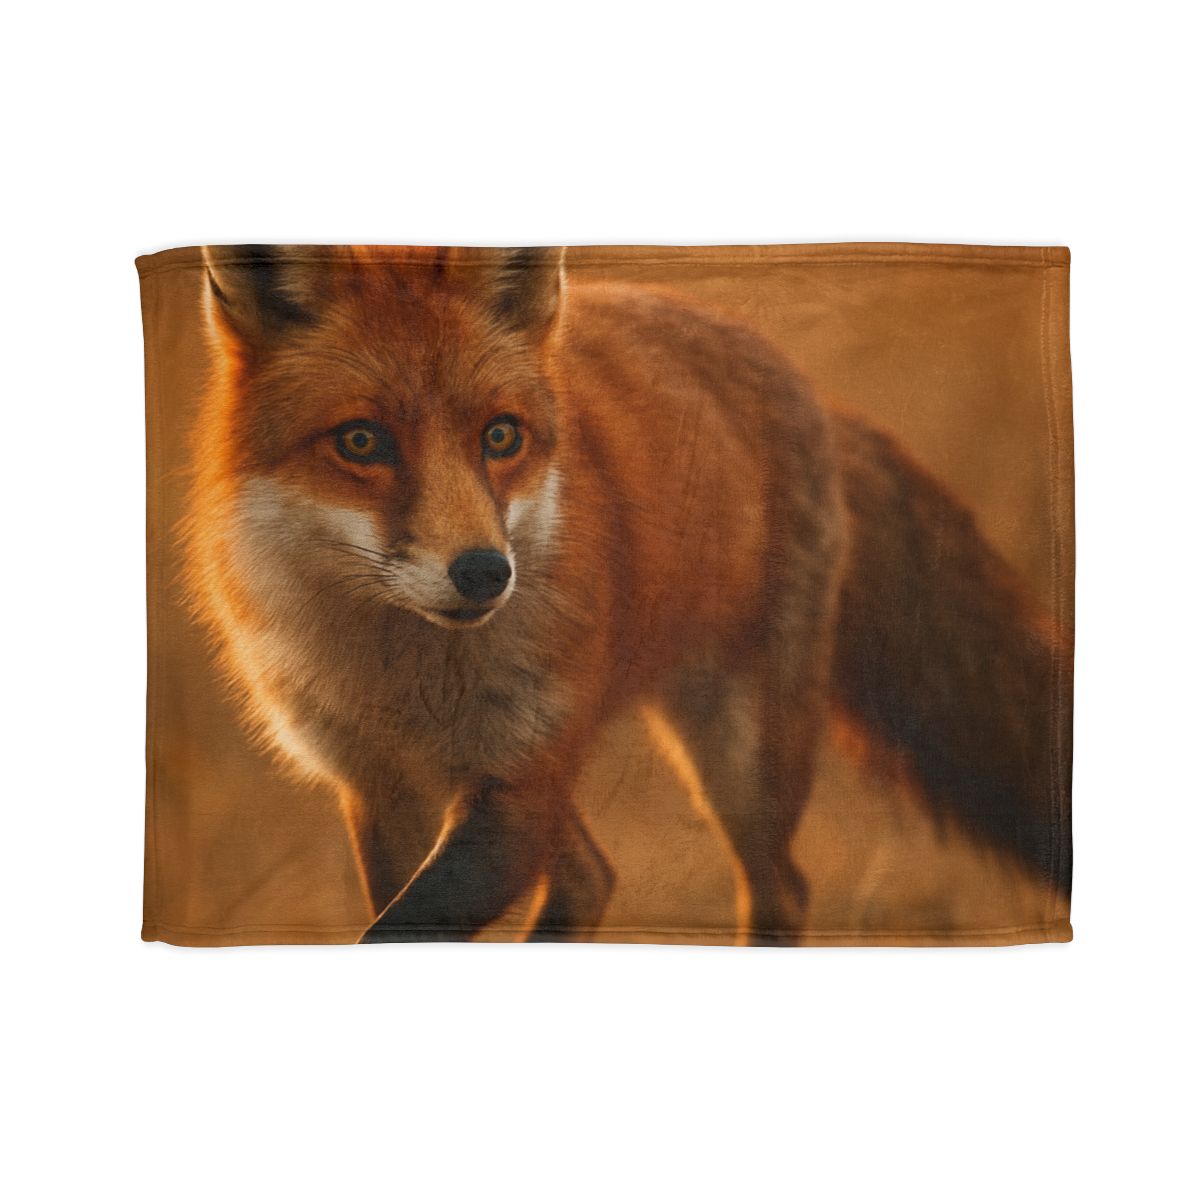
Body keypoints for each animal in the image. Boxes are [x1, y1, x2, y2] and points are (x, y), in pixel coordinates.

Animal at [185, 244, 1072, 945]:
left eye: (500, 436)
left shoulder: (520, 781)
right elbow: (396, 923)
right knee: (593, 876)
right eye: (362, 442)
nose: (485, 571)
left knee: (776, 887)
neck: (409, 680)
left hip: (740, 755)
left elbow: (399, 928)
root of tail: (809, 387)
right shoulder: (379, 787)